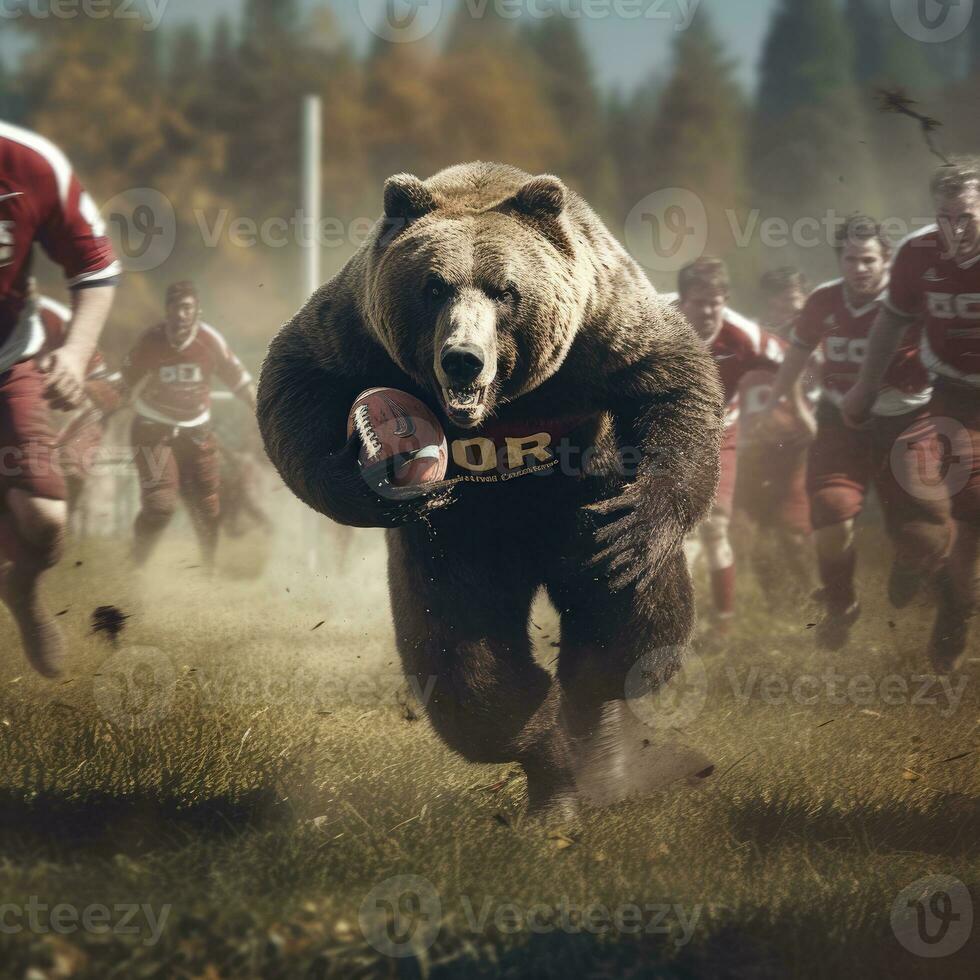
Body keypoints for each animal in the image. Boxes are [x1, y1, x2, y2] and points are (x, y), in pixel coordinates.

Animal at [256, 163, 724, 820]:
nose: (462, 359)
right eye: (433, 286)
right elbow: (295, 380)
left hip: (587, 493)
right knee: (467, 664)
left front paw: (636, 525)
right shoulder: (357, 328)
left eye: (506, 289)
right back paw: (551, 764)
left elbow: (675, 379)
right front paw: (372, 478)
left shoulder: (600, 328)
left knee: (628, 625)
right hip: (460, 549)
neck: (503, 412)